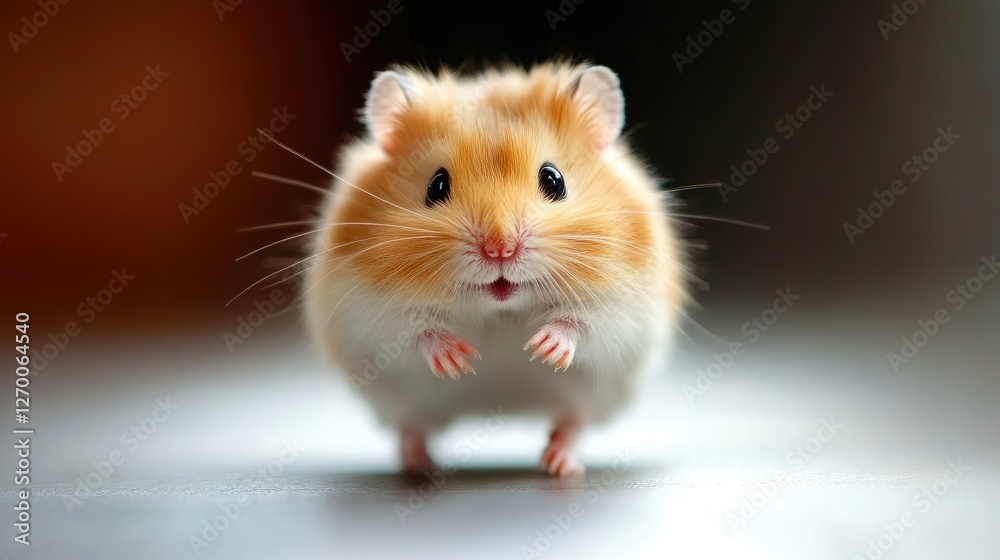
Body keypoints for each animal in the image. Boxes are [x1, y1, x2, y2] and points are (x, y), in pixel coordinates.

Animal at [304, 62, 688, 476]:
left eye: (554, 179)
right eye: (436, 185)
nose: (499, 249)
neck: (499, 309)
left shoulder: (624, 305)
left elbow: (582, 323)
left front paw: (543, 349)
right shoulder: (367, 312)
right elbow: (415, 330)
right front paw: (460, 361)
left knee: (573, 421)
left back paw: (558, 464)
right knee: (411, 427)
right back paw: (419, 467)